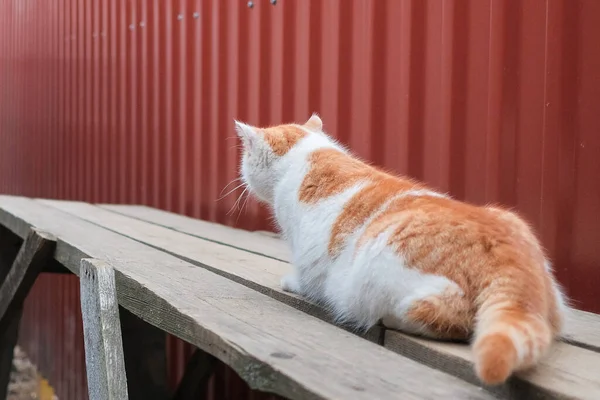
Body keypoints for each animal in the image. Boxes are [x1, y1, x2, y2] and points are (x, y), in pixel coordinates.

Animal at [233, 114, 568, 386]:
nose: (242, 178)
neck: (309, 153)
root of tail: (511, 256)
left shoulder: (309, 250)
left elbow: (307, 276)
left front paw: (292, 283)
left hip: (378, 266)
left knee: (442, 314)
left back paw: (389, 318)